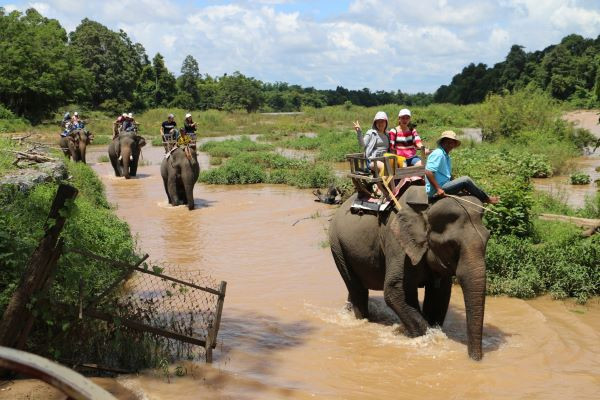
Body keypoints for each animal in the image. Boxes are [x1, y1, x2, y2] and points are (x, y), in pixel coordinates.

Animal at [330, 186, 490, 360]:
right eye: (452, 245)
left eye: (488, 239)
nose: (475, 359)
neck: (427, 205)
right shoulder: (396, 241)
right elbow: (396, 290)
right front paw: (429, 338)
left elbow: (439, 295)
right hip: (337, 246)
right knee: (357, 289)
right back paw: (362, 320)